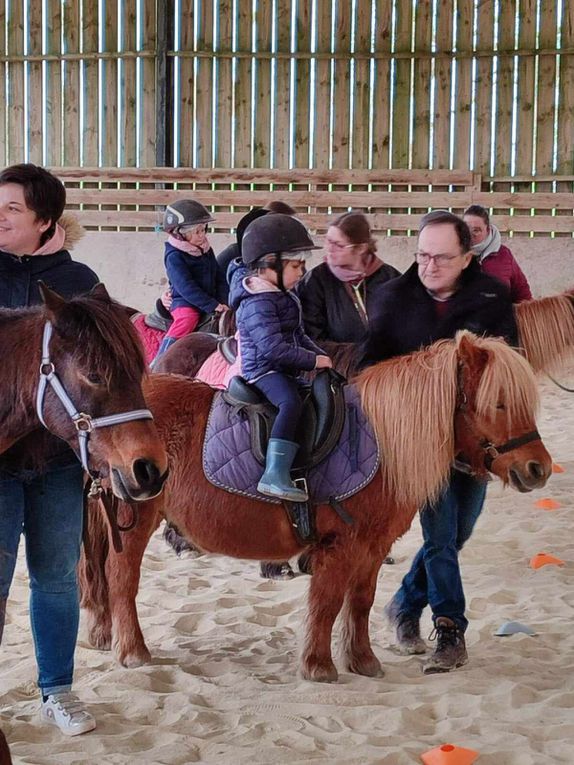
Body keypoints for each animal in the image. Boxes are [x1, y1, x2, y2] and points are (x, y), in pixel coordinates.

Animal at [80, 332, 552, 680]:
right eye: (498, 403)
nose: (538, 468)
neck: (382, 442)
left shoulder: (372, 548)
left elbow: (359, 601)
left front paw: (363, 661)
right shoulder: (338, 546)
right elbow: (325, 603)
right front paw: (319, 666)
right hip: (134, 518)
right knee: (120, 578)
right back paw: (133, 651)